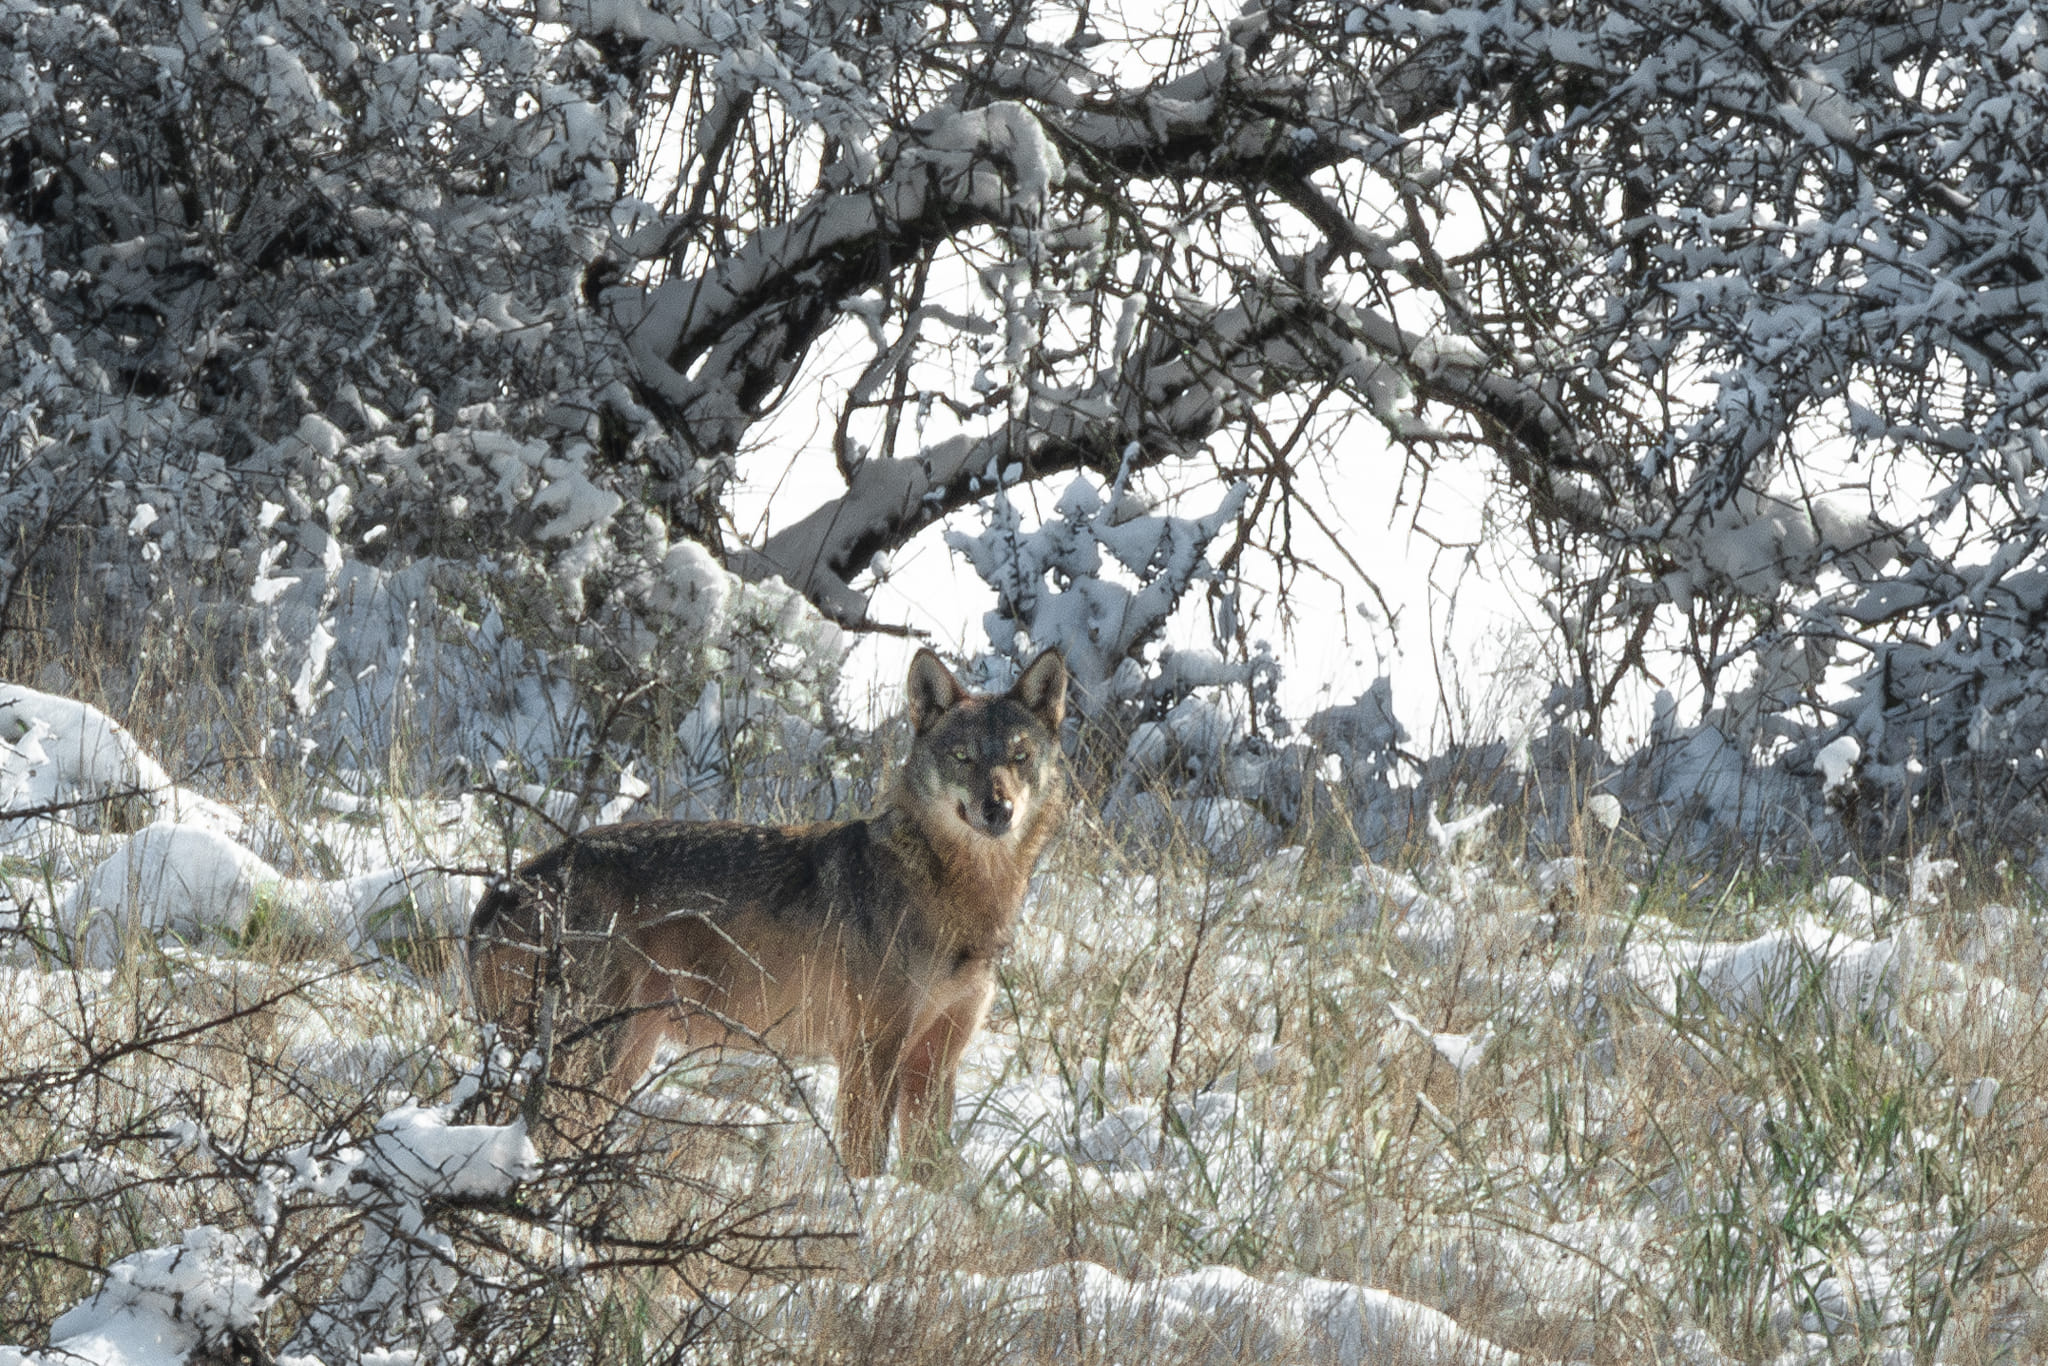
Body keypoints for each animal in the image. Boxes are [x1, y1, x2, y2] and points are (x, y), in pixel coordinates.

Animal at [466, 651, 1073, 1179]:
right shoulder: (870, 1053)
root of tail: (506, 885)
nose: (999, 809)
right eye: (963, 757)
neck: (964, 898)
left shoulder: (935, 1063)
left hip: (623, 1058)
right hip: (593, 1055)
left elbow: (933, 1179)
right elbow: (866, 1164)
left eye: (1019, 757)